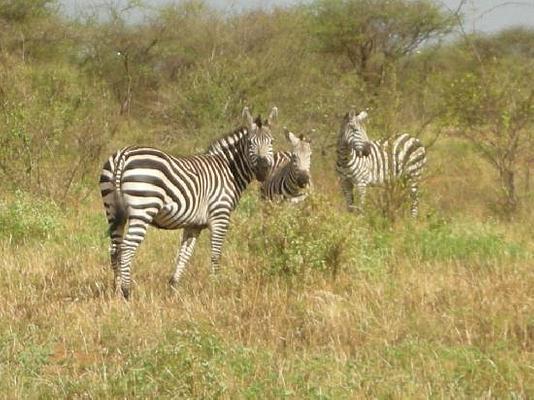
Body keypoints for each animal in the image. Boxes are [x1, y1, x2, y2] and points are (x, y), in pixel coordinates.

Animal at [98, 104, 278, 298]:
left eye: (272, 142)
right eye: (250, 143)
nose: (263, 169)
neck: (228, 170)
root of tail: (123, 155)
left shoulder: (194, 225)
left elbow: (184, 254)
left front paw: (173, 287)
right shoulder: (220, 216)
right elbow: (216, 254)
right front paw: (215, 286)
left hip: (113, 211)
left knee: (114, 249)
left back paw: (116, 290)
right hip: (143, 208)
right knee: (126, 249)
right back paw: (126, 291)